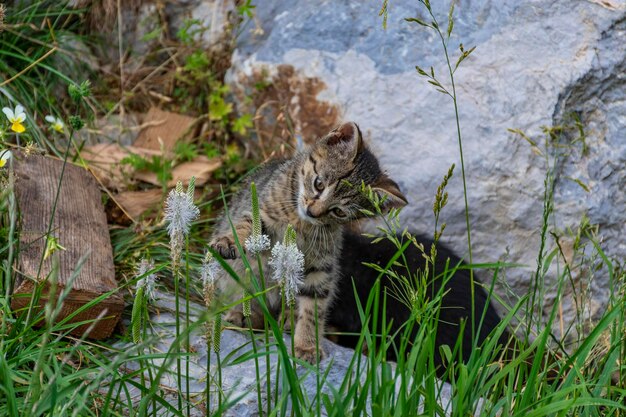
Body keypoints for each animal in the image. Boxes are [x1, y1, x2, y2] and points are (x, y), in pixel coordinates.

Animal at [207, 122, 408, 362]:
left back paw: (286, 319)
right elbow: (247, 226)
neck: (300, 223)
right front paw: (229, 240)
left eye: (339, 211)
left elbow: (314, 307)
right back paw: (243, 315)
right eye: (319, 183)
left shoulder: (320, 265)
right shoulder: (262, 214)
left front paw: (306, 345)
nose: (313, 211)